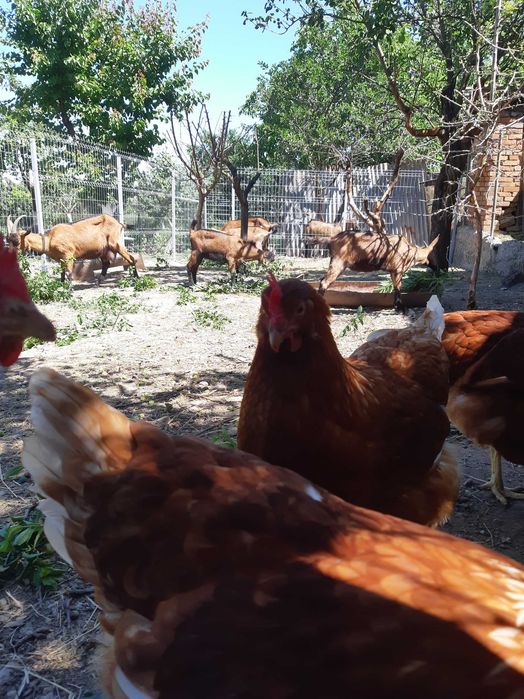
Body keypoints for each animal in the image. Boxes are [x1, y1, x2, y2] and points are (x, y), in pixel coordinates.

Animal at [7, 214, 138, 283]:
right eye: (8, 240)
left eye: (17, 241)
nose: (10, 254)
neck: (49, 239)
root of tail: (119, 223)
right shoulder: (61, 260)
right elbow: (62, 274)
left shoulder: (68, 256)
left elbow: (69, 274)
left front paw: (69, 290)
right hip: (104, 250)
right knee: (106, 263)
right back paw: (99, 280)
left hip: (115, 244)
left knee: (131, 258)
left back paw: (136, 278)